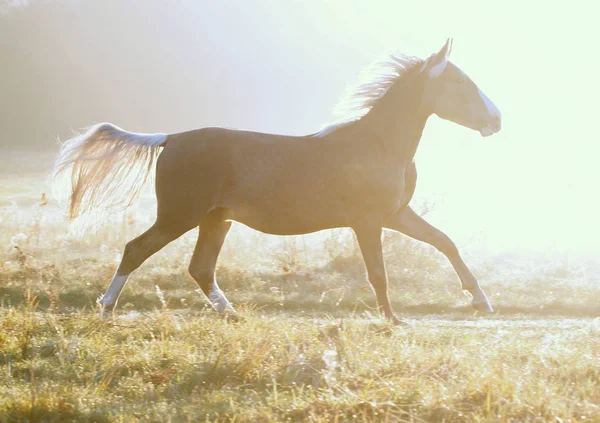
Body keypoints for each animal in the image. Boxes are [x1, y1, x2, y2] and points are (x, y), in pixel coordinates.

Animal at [52, 39, 502, 324]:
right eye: (459, 82)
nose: (496, 119)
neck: (377, 145)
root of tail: (171, 138)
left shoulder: (396, 215)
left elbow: (445, 242)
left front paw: (481, 302)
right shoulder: (369, 221)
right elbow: (378, 271)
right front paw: (393, 320)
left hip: (216, 220)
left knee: (200, 268)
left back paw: (232, 314)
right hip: (179, 216)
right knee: (136, 250)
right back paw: (106, 309)